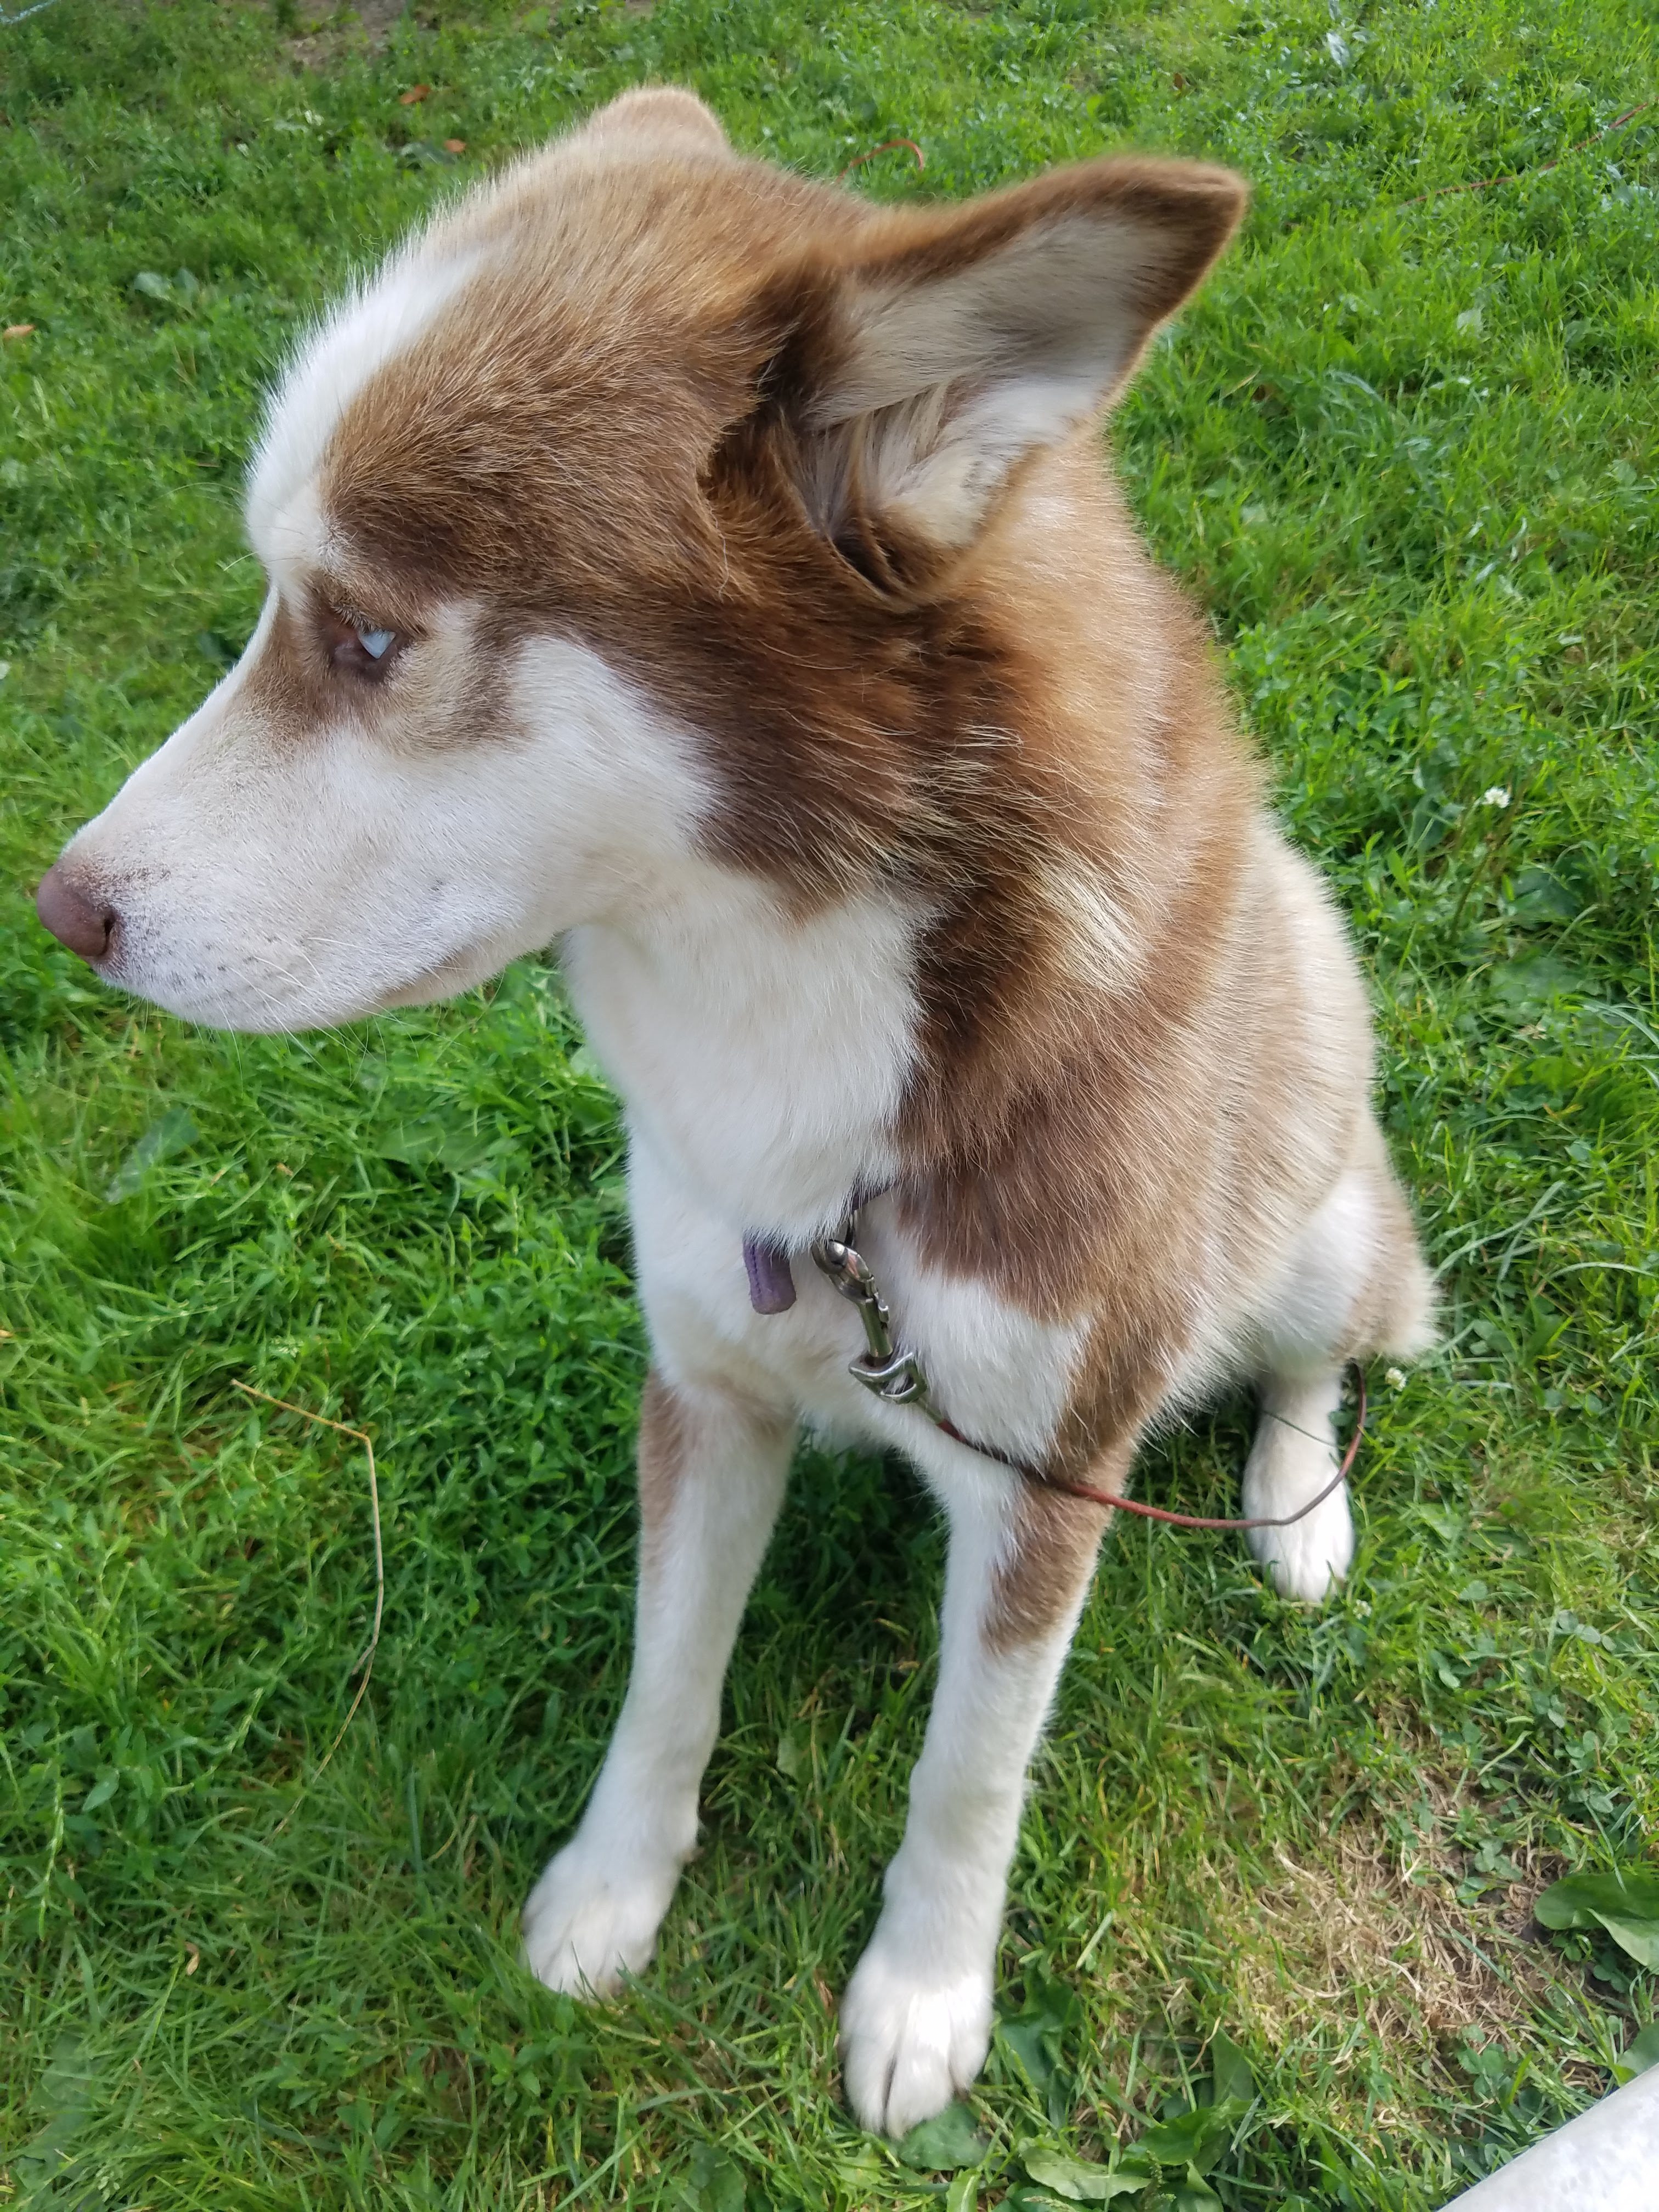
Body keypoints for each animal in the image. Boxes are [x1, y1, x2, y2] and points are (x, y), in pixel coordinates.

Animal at [39, 91, 1442, 2141]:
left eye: (367, 639)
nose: (62, 909)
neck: (800, 1072)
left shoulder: (1048, 1474)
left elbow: (968, 1776)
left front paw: (924, 1996)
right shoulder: (702, 1382)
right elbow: (664, 1678)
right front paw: (610, 1891)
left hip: (1318, 1200)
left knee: (1319, 1357)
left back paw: (1292, 1507)